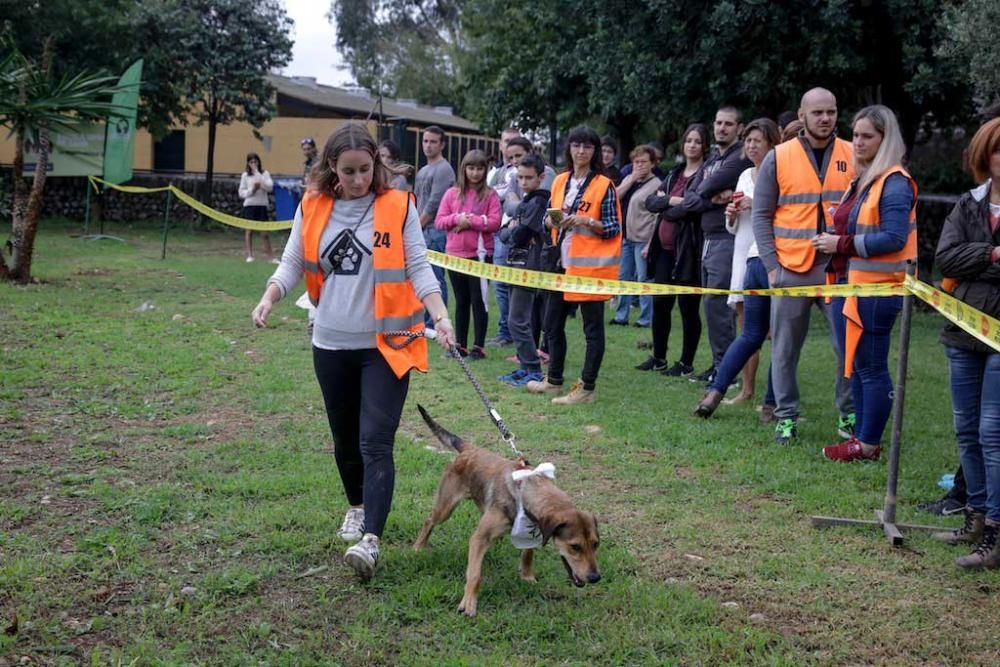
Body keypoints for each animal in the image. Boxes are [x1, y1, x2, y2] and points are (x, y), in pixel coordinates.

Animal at [410, 408, 596, 620]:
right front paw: (469, 603)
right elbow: (474, 575)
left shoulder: (533, 531)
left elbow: (528, 555)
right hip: (445, 508)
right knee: (429, 521)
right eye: (575, 547)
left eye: (595, 544)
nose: (595, 577)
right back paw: (418, 546)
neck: (526, 491)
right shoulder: (479, 538)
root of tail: (469, 449)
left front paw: (527, 577)